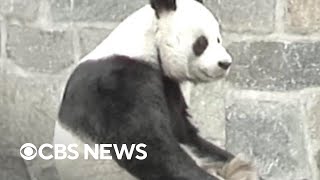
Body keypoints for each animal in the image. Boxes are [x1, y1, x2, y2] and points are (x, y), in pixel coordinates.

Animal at [54, 0, 260, 180]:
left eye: (218, 39)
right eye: (202, 43)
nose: (225, 63)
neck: (145, 44)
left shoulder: (168, 85)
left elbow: (185, 133)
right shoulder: (118, 83)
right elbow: (146, 145)